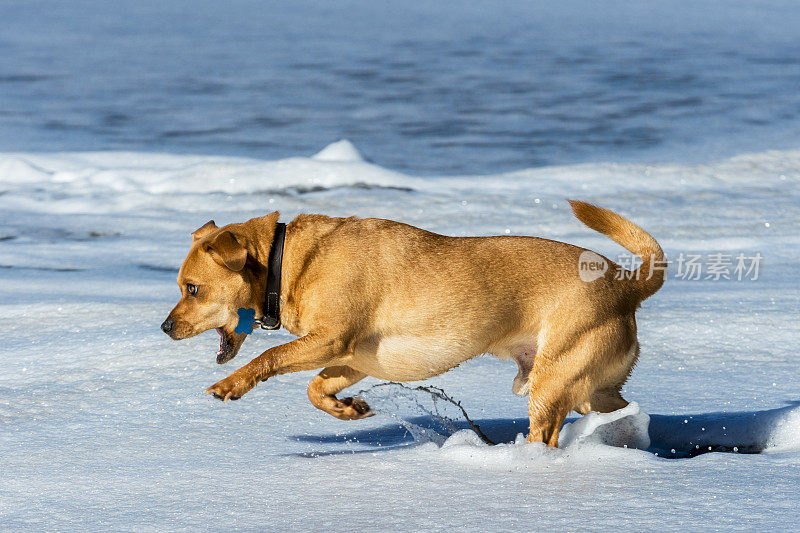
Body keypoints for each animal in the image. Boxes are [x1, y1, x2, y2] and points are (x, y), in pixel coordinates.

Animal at [161, 200, 664, 444]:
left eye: (192, 289)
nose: (165, 327)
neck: (289, 263)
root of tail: (625, 284)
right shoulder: (355, 357)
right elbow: (315, 388)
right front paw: (349, 409)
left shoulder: (331, 340)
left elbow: (269, 357)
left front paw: (231, 385)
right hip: (589, 384)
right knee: (621, 409)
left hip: (552, 383)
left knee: (547, 435)